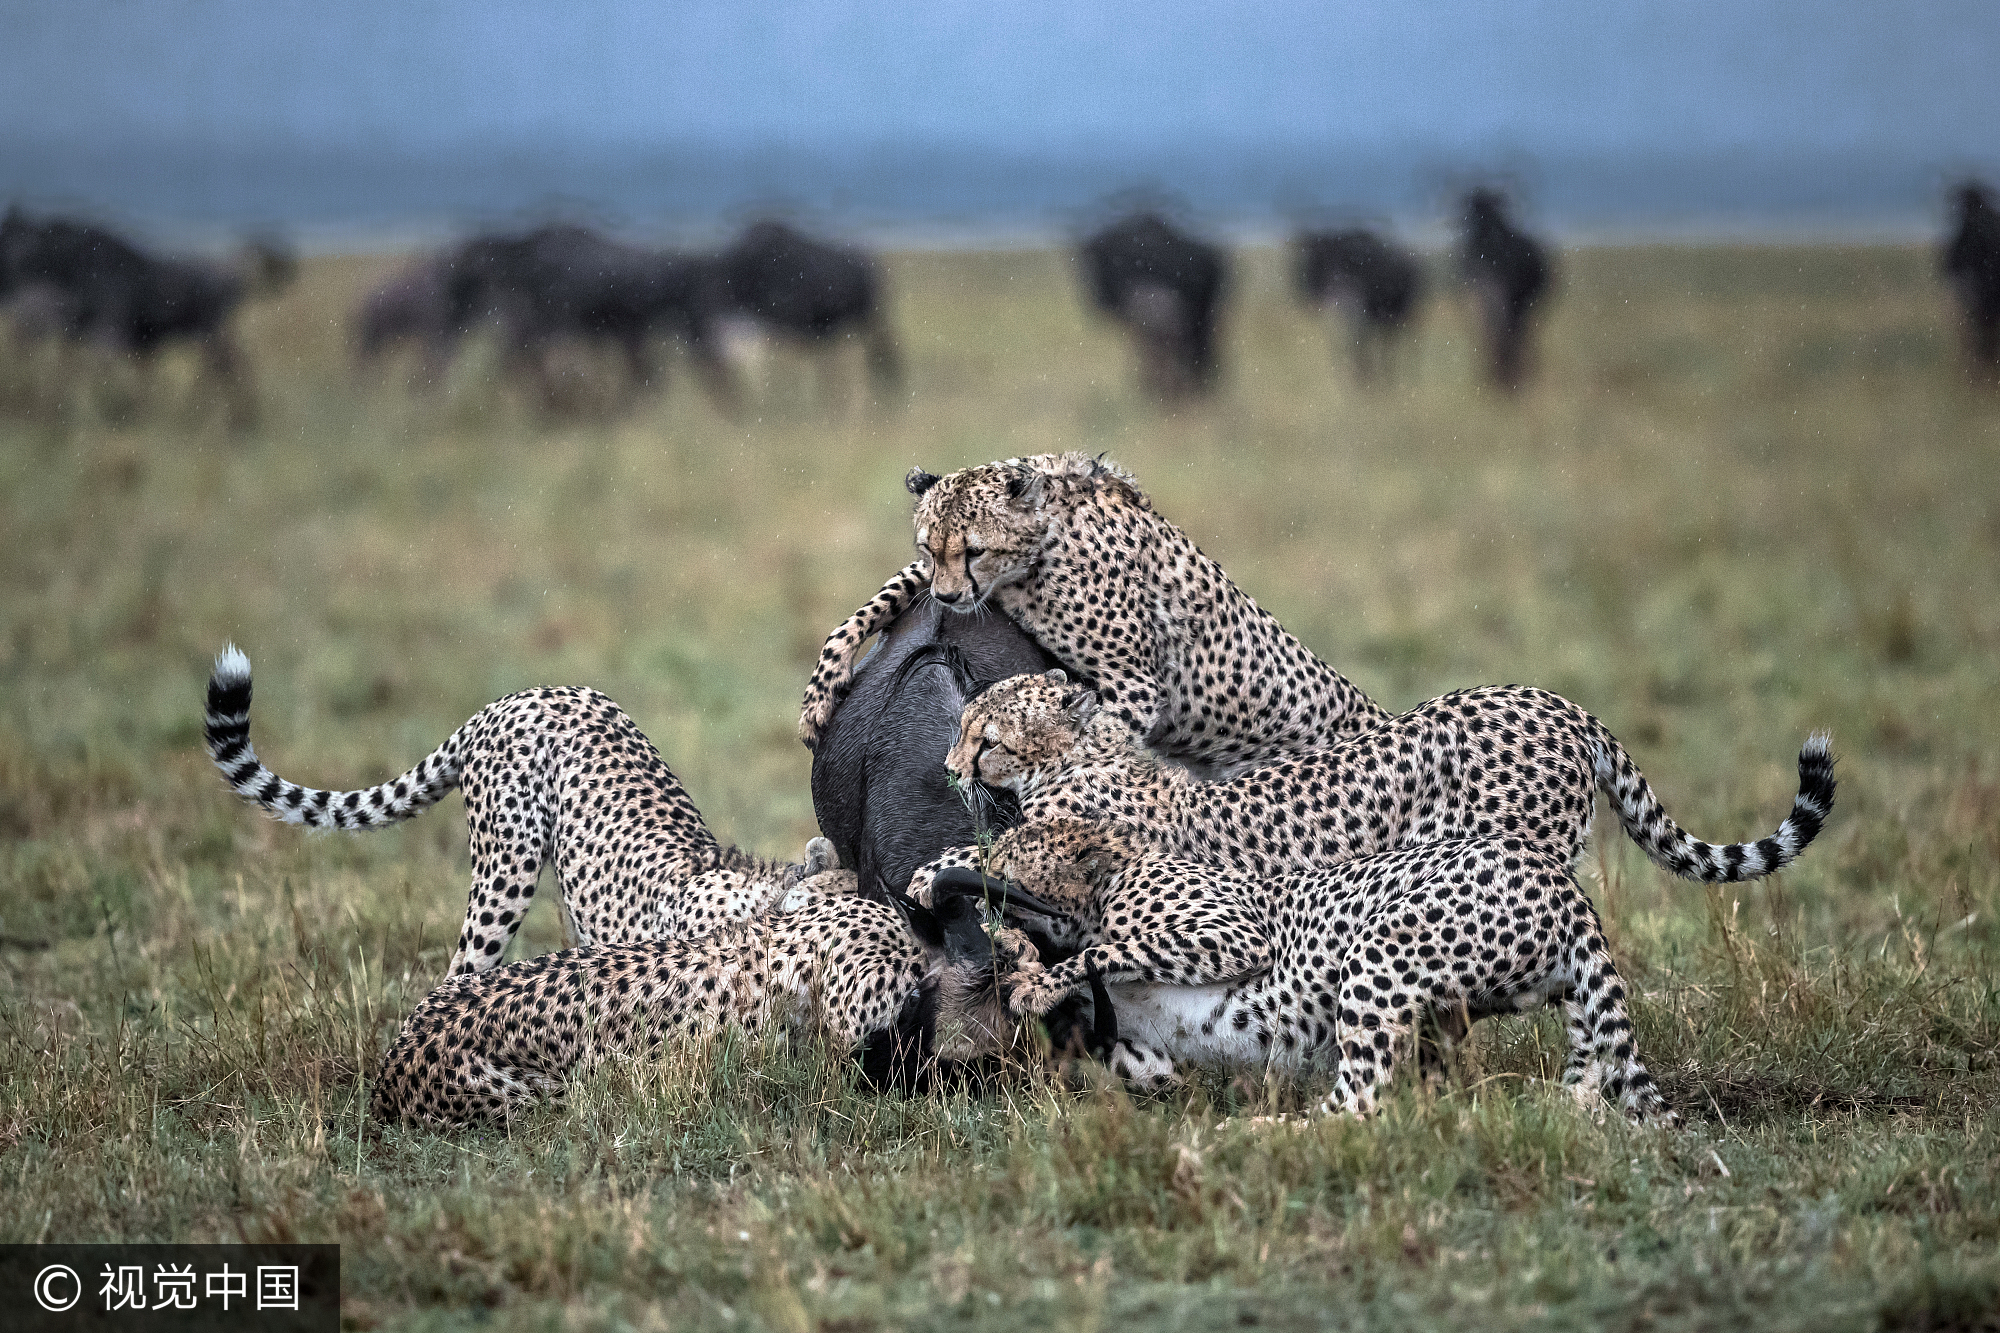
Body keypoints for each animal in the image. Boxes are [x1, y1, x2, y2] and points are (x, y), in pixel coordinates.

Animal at [796, 452, 1392, 772]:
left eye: (975, 550)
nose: (946, 600)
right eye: (930, 547)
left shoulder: (1135, 685)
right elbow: (879, 599)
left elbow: (1094, 740)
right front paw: (819, 696)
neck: (1041, 546)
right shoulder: (957, 584)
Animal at [992, 820, 1680, 1120]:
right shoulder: (1150, 1060)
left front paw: (1034, 982)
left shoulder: (1234, 935)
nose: (984, 853)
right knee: (1589, 1067)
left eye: (1011, 848)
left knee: (1359, 1102)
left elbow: (1108, 952)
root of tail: (1557, 876)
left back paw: (1262, 1130)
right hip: (1553, 997)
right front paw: (1017, 956)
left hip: (1379, 948)